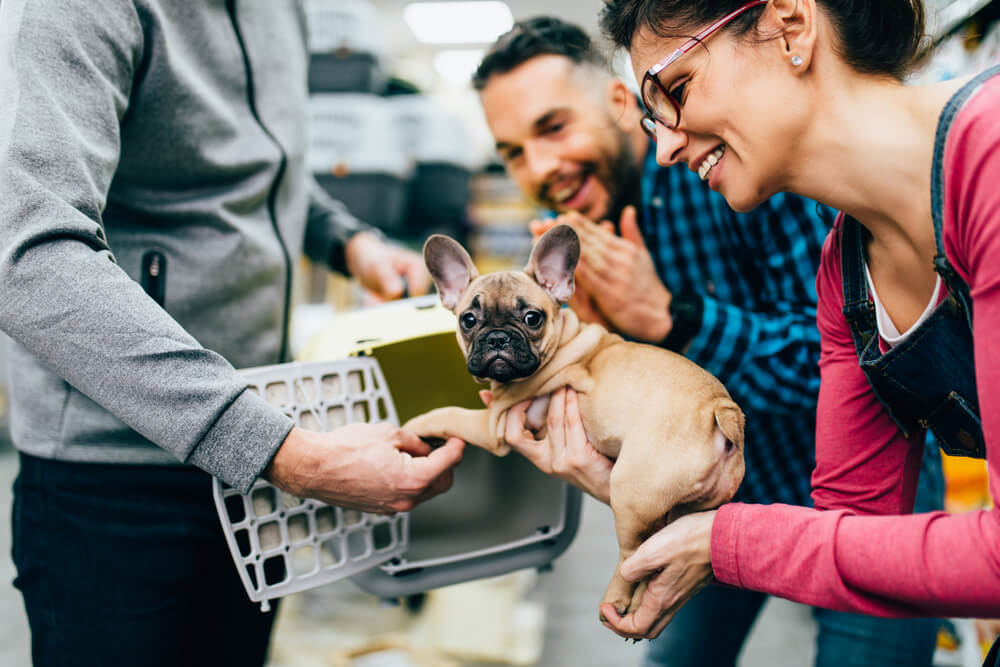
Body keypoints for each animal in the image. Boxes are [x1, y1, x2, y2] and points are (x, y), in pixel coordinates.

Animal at [400, 224, 744, 620]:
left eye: (532, 318)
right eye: (468, 320)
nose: (498, 337)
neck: (563, 340)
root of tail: (719, 409)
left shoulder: (492, 425)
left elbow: (450, 414)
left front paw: (413, 425)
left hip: (630, 494)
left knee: (633, 559)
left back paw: (616, 600)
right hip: (687, 508)